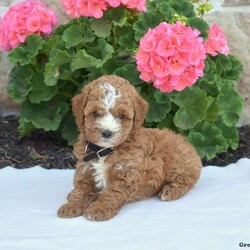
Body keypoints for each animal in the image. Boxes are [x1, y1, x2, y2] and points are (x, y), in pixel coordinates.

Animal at [57, 74, 202, 221]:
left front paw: (99, 208)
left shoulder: (125, 173)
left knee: (186, 180)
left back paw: (170, 190)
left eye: (122, 116)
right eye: (95, 113)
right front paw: (71, 205)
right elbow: (82, 189)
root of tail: (186, 142)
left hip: (178, 162)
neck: (104, 150)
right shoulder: (85, 168)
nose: (107, 133)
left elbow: (111, 193)